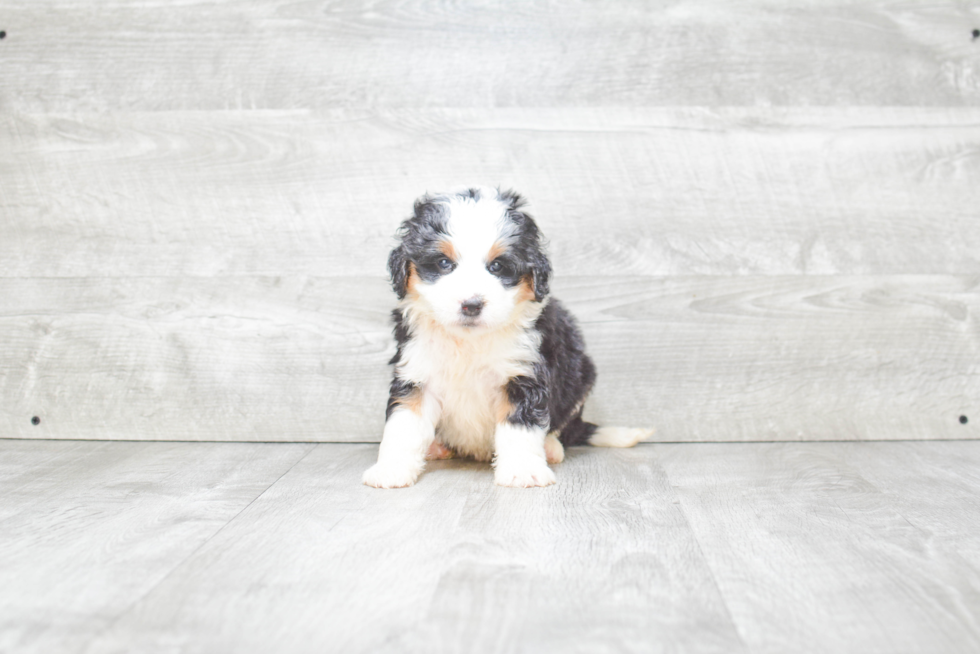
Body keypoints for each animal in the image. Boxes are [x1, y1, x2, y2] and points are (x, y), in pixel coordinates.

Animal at [360, 187, 652, 490]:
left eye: (498, 266)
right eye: (443, 263)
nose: (471, 305)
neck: (469, 342)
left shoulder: (523, 375)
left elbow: (519, 426)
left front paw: (523, 471)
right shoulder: (416, 373)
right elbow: (403, 426)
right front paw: (391, 470)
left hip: (579, 376)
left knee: (562, 426)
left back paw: (551, 448)